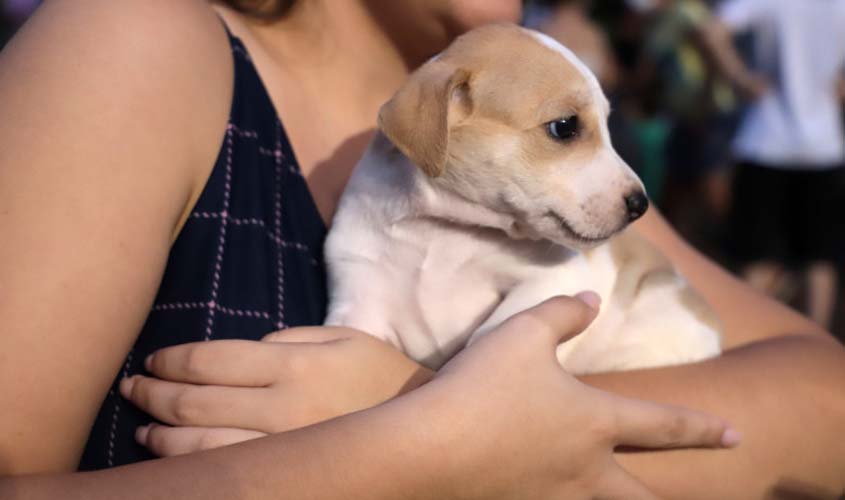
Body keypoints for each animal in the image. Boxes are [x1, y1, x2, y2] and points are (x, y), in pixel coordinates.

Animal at [324, 24, 720, 376]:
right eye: (565, 126)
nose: (640, 204)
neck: (444, 231)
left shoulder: (559, 280)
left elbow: (490, 330)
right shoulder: (358, 301)